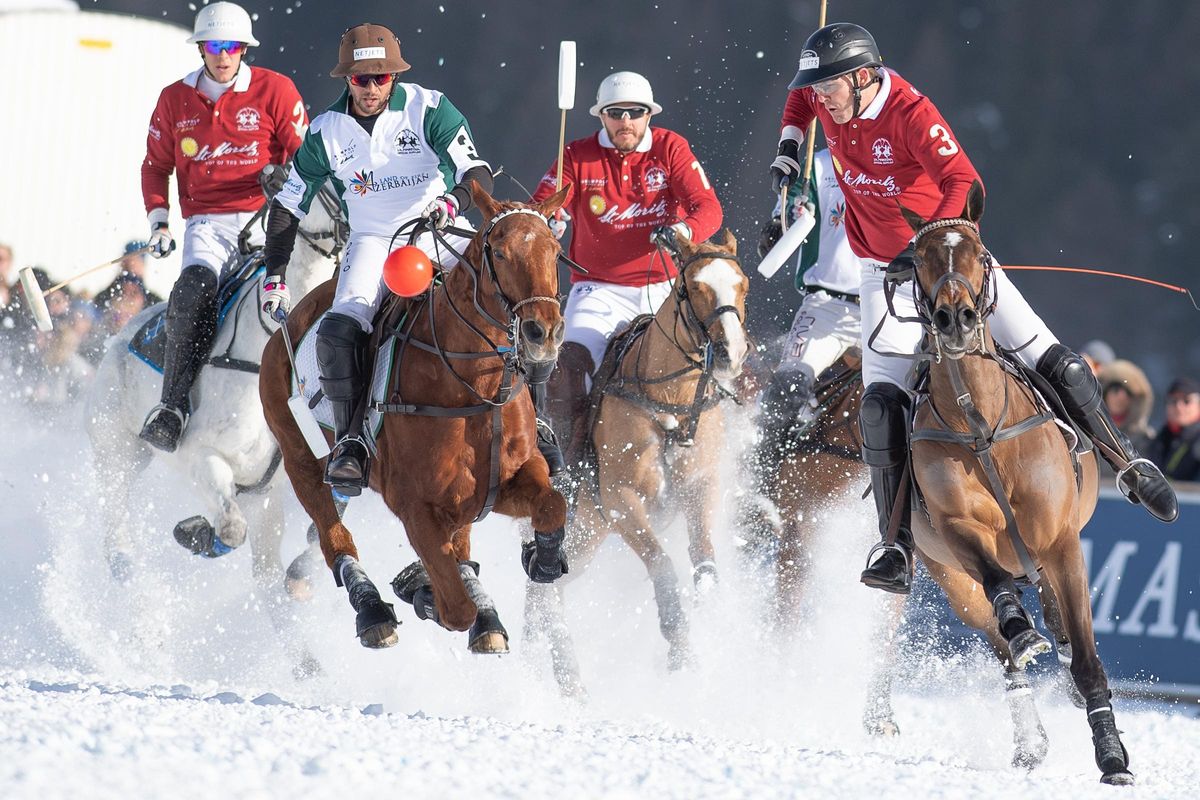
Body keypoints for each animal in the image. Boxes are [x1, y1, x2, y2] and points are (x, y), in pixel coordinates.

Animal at [85, 184, 344, 671]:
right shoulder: (201, 457)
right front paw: (196, 533)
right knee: (116, 531)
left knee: (265, 573)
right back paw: (143, 610)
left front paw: (303, 575)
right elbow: (229, 529)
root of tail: (122, 333)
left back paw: (307, 663)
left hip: (262, 496)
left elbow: (317, 532)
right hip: (118, 449)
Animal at [259, 181, 572, 654]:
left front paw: (543, 559)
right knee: (334, 534)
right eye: (498, 252)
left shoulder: (507, 479)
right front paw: (421, 589)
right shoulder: (415, 505)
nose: (543, 333)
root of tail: (295, 314)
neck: (474, 388)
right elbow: (454, 608)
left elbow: (553, 505)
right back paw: (373, 609)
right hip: (298, 456)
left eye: (554, 250)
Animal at [524, 230, 749, 693]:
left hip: (586, 537)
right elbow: (662, 564)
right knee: (543, 592)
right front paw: (681, 649)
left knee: (543, 593)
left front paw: (713, 616)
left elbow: (703, 554)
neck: (669, 402)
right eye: (692, 287)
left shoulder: (702, 485)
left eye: (743, 286)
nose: (731, 353)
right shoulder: (620, 500)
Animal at [898, 181, 1131, 784]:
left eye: (979, 254)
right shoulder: (957, 530)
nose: (954, 318)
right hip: (947, 579)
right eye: (920, 260)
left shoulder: (1063, 542)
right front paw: (1020, 627)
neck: (980, 426)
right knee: (1005, 652)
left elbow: (1088, 661)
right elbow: (999, 589)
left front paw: (1113, 758)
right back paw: (1029, 736)